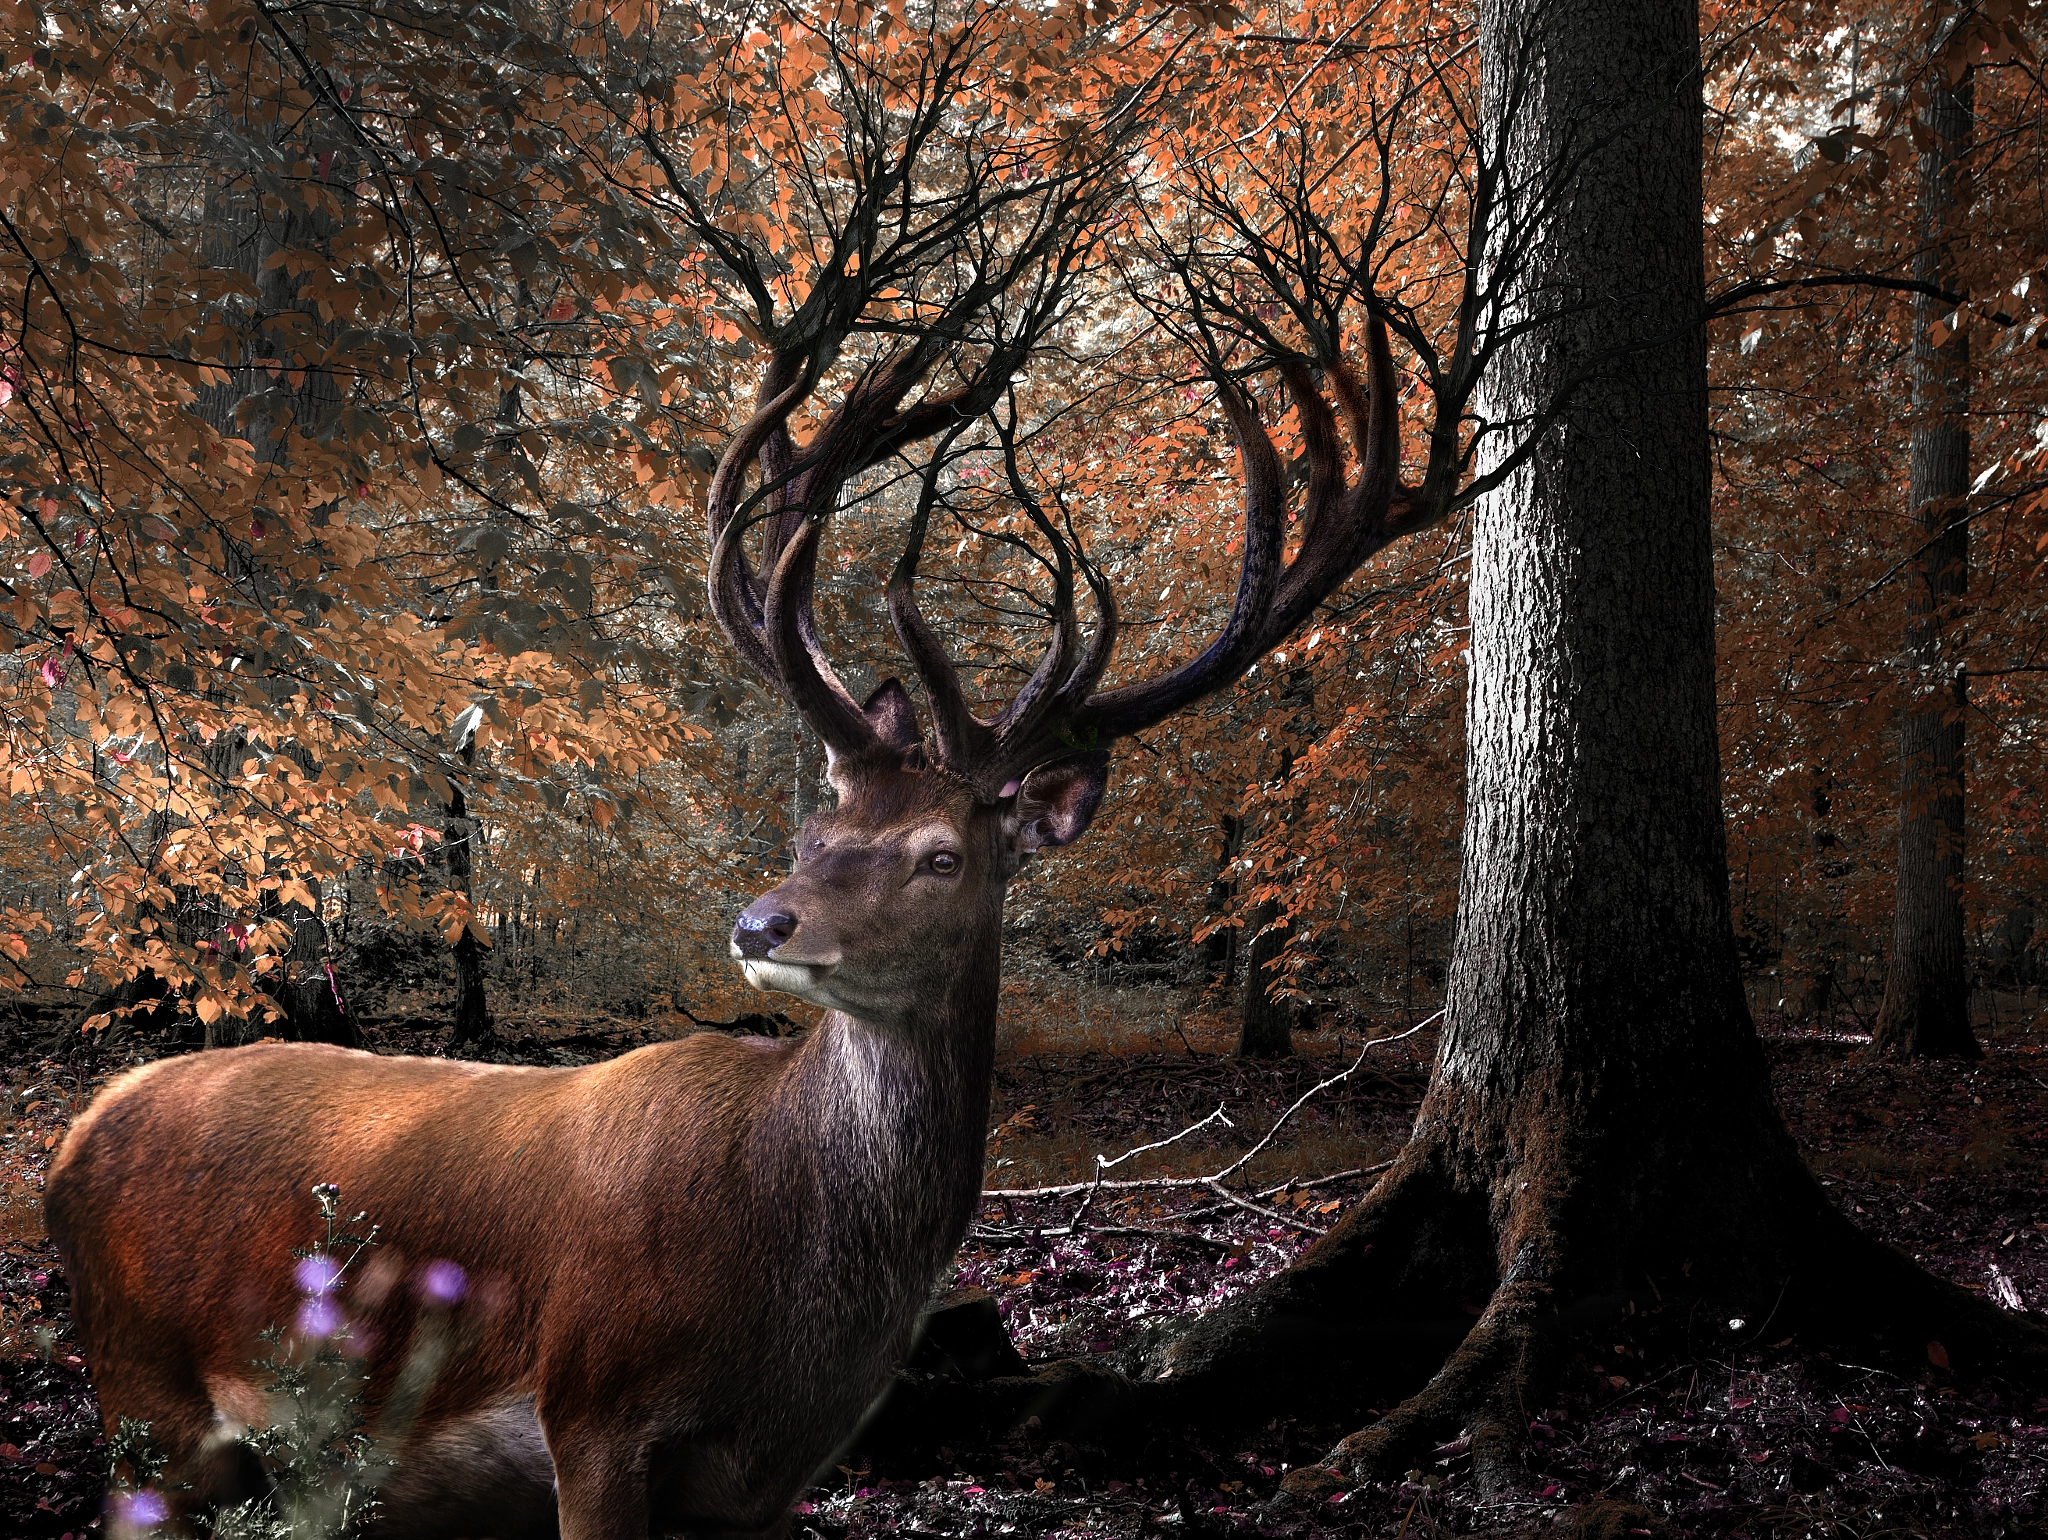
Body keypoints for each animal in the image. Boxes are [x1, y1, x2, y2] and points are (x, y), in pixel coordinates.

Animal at [46, 302, 1428, 1538]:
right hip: (143, 1400)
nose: (761, 923)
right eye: (817, 833)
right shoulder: (591, 1416)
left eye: (940, 855)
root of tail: (75, 1132)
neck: (793, 1325)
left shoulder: (772, 1480)